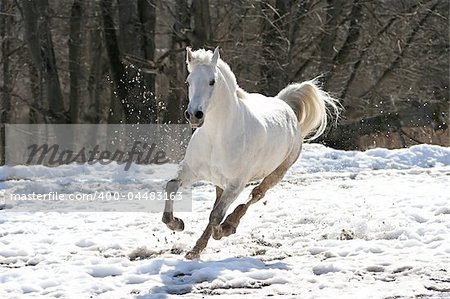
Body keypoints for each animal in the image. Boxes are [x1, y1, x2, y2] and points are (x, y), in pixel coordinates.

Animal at [163, 47, 340, 260]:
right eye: (188, 82)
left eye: (212, 81)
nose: (194, 115)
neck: (216, 138)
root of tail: (285, 106)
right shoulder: (191, 171)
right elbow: (172, 186)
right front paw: (177, 223)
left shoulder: (236, 183)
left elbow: (216, 216)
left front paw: (224, 230)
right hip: (220, 181)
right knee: (220, 203)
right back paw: (195, 249)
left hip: (277, 173)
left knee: (256, 194)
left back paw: (230, 224)